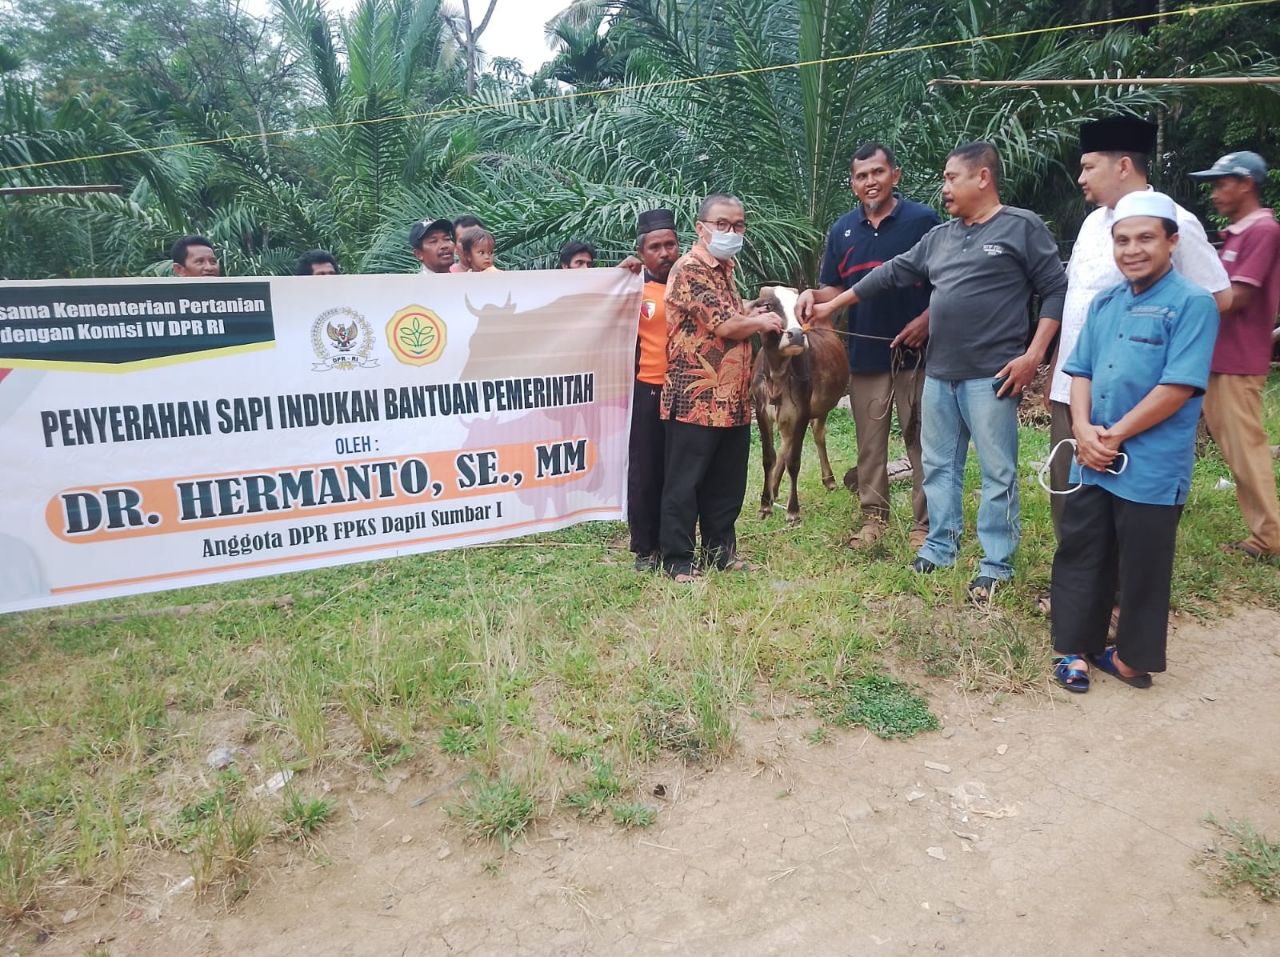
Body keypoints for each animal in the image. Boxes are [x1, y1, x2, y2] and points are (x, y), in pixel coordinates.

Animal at [747, 284, 849, 524]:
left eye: (799, 309)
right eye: (768, 306)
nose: (796, 334)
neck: (777, 375)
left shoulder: (802, 411)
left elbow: (794, 461)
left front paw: (793, 511)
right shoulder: (762, 411)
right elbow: (769, 457)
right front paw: (765, 505)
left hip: (820, 406)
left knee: (817, 434)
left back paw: (829, 479)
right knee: (785, 444)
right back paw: (774, 489)